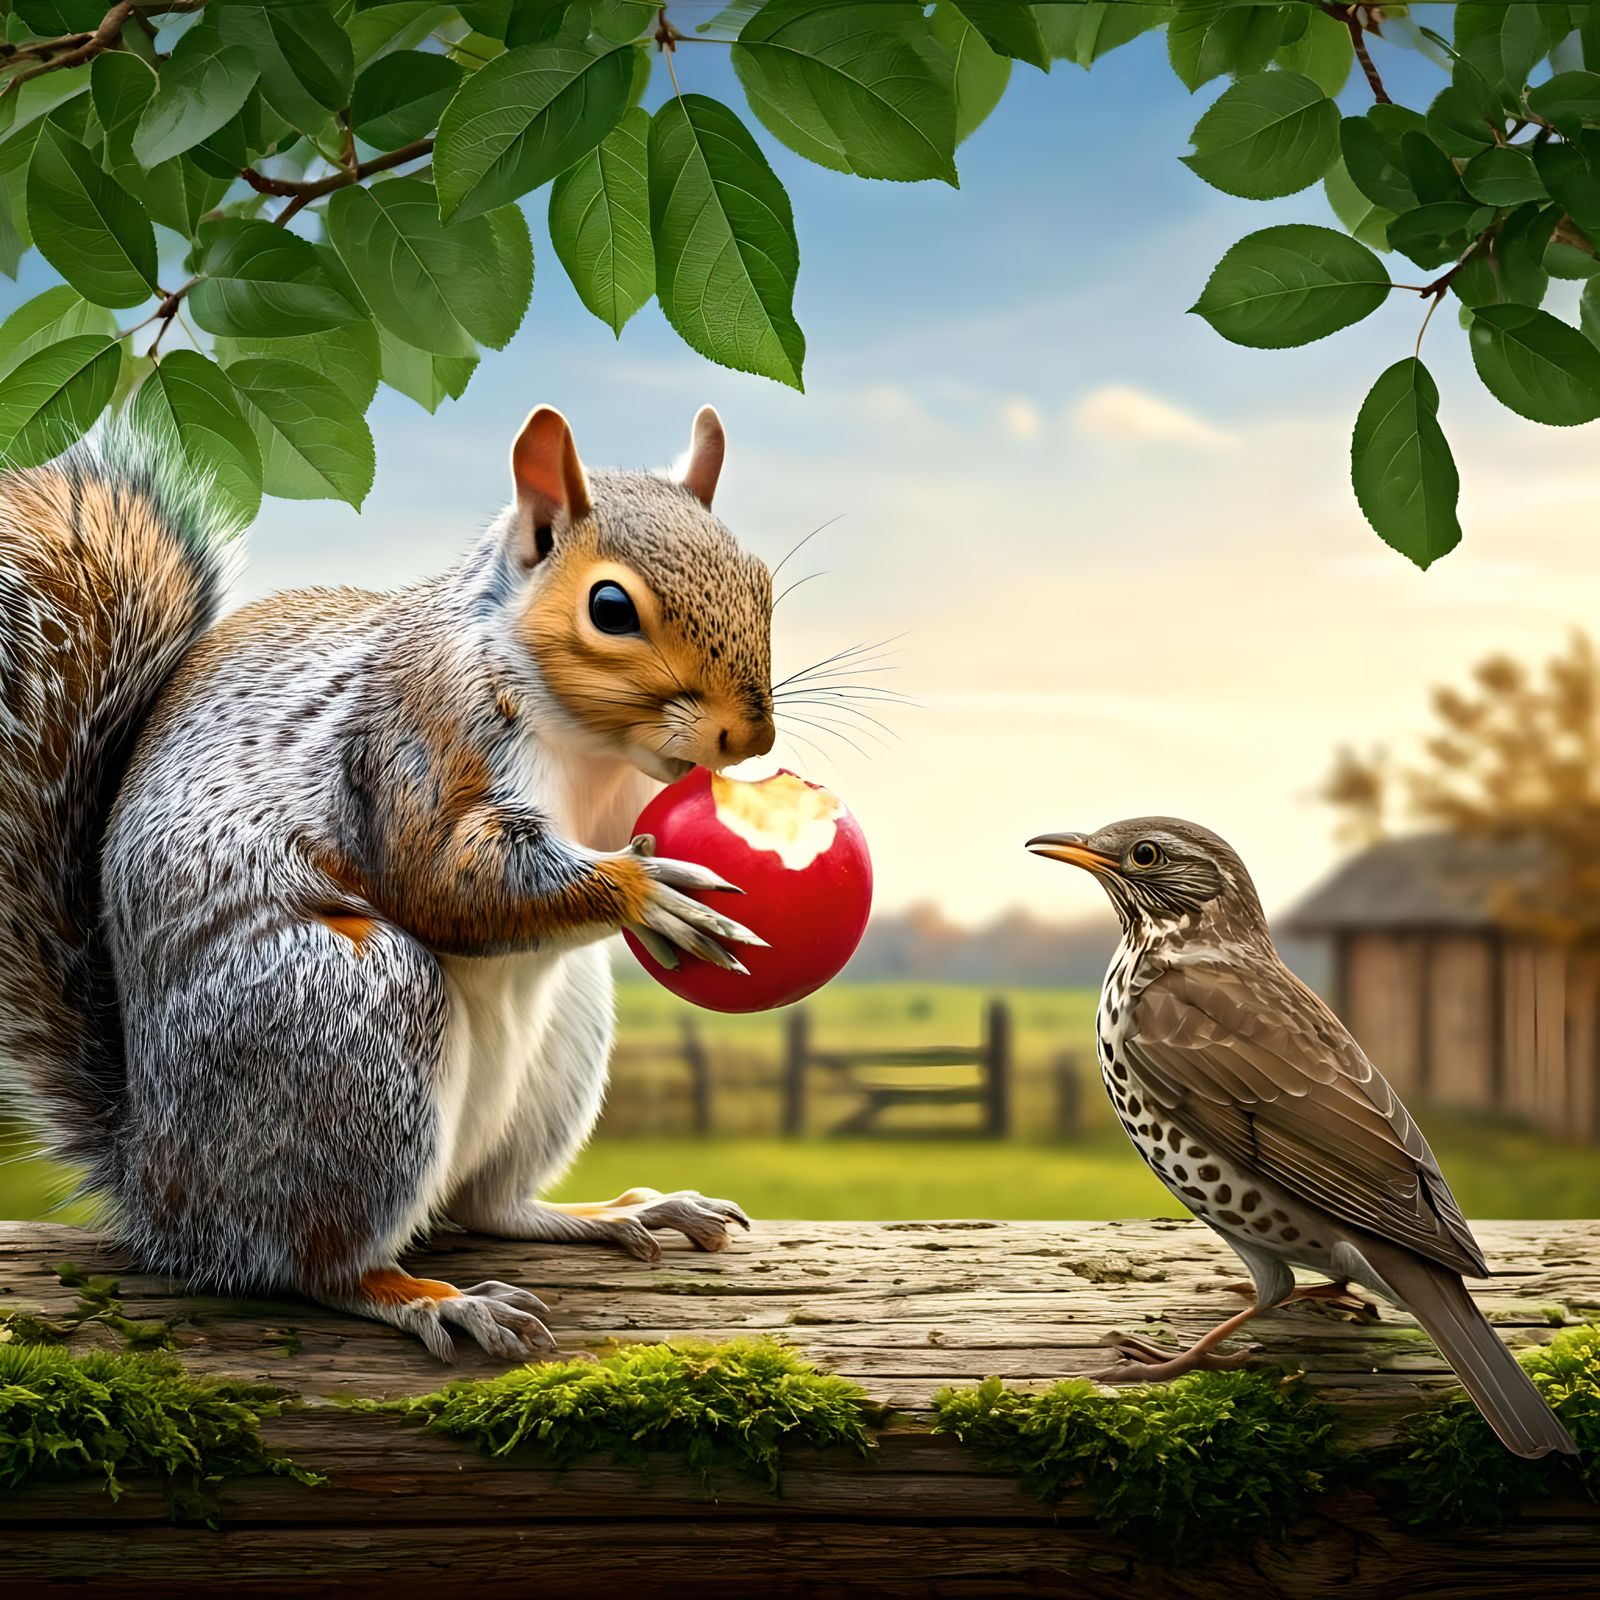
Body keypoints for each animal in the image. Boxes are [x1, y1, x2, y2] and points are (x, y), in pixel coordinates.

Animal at [0, 403, 776, 1359]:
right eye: (610, 608)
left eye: (760, 579)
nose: (750, 738)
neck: (591, 750)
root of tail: (156, 1186)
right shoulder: (416, 743)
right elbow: (442, 879)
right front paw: (647, 893)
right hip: (355, 1017)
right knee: (313, 1265)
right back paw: (435, 1300)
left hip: (557, 1042)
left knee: (491, 1205)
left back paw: (615, 1213)